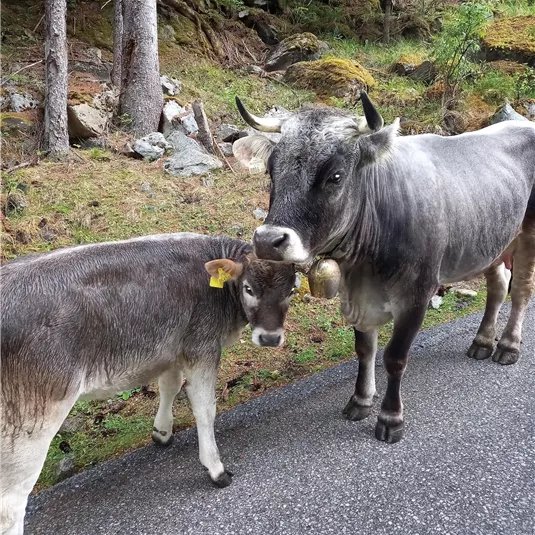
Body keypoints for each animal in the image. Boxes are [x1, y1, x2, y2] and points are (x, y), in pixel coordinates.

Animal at [0, 233, 296, 535]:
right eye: (248, 288)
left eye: (292, 290)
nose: (270, 338)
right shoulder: (201, 345)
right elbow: (205, 409)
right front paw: (216, 469)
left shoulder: (173, 347)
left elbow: (170, 386)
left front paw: (162, 432)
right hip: (32, 413)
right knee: (10, 505)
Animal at [234, 94, 535, 446]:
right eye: (271, 171)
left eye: (335, 176)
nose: (268, 240)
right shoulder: (358, 297)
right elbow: (365, 350)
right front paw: (361, 400)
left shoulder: (417, 295)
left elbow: (394, 357)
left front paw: (391, 418)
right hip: (492, 239)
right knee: (498, 286)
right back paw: (483, 342)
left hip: (527, 235)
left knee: (521, 291)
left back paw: (508, 346)